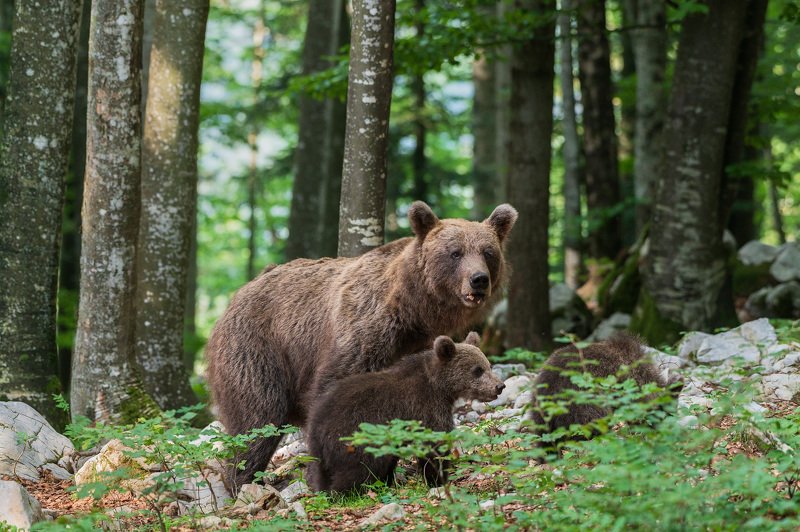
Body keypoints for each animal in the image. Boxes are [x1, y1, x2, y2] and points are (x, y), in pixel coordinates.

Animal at [305, 332, 505, 493]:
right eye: (477, 370)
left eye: (488, 365)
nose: (499, 386)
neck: (439, 386)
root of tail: (317, 429)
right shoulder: (425, 408)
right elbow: (434, 445)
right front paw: (438, 480)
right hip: (357, 436)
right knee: (358, 470)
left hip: (322, 452)